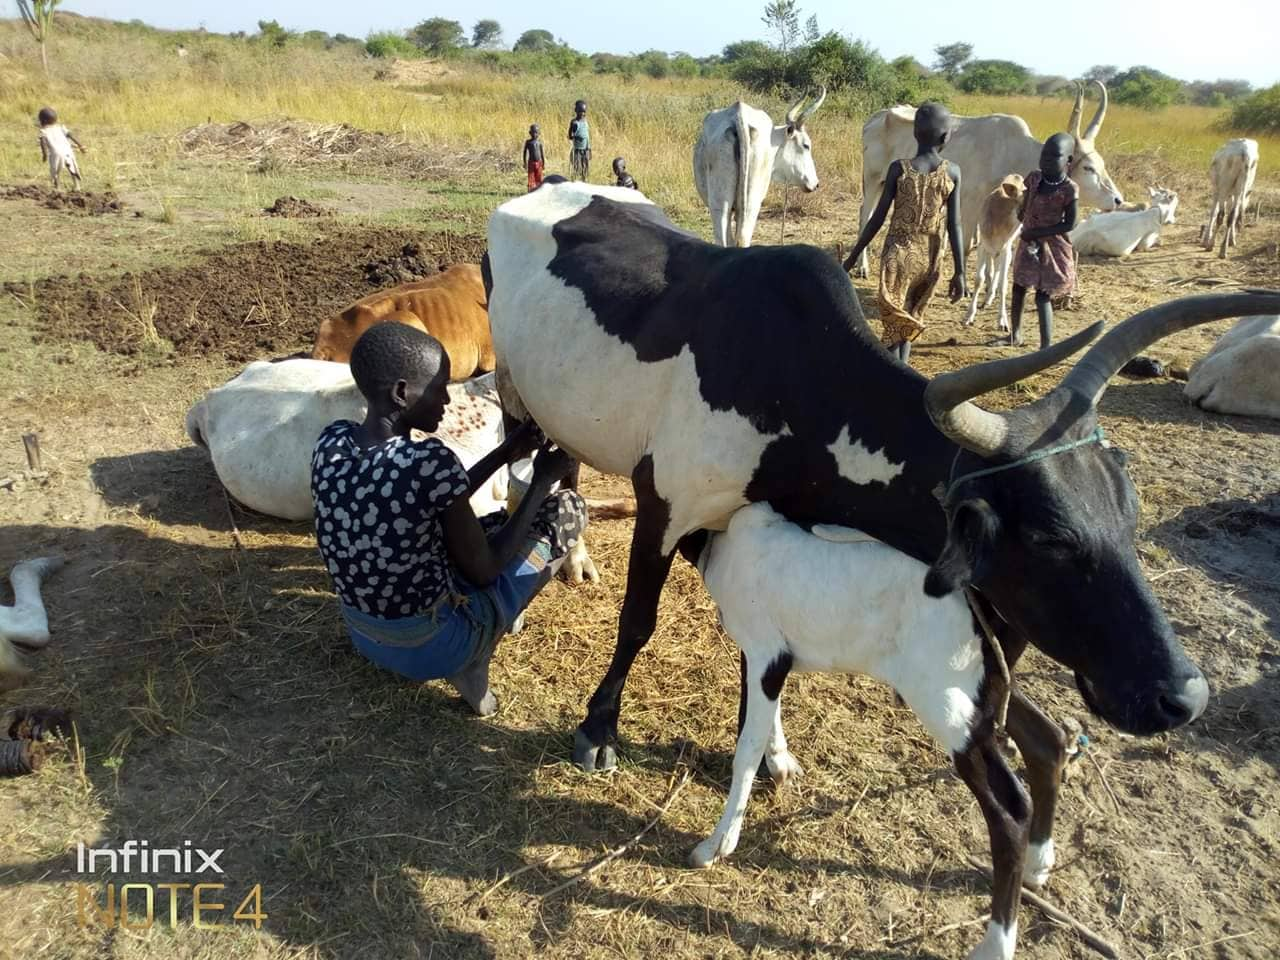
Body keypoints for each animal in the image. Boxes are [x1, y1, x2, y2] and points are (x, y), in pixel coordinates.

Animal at [696, 504, 1064, 960]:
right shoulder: (768, 658)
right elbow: (764, 718)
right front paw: (781, 764)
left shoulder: (766, 651)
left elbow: (746, 747)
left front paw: (717, 844)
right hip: (987, 687)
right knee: (1048, 739)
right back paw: (1039, 862)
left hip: (945, 701)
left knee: (1010, 808)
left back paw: (995, 943)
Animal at [855, 82, 1126, 277]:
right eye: (1089, 168)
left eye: (1102, 165)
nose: (1117, 200)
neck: (1011, 149)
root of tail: (877, 117)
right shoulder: (970, 201)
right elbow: (965, 245)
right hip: (873, 178)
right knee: (866, 214)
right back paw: (862, 266)